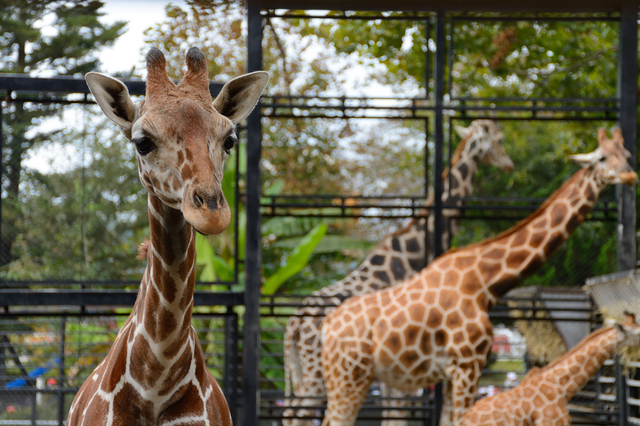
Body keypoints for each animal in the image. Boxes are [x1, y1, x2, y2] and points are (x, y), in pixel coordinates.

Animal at [282, 119, 512, 426]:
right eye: (499, 140)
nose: (509, 164)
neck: (412, 255)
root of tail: (295, 322)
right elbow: (398, 415)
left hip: (301, 367)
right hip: (318, 370)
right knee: (298, 412)